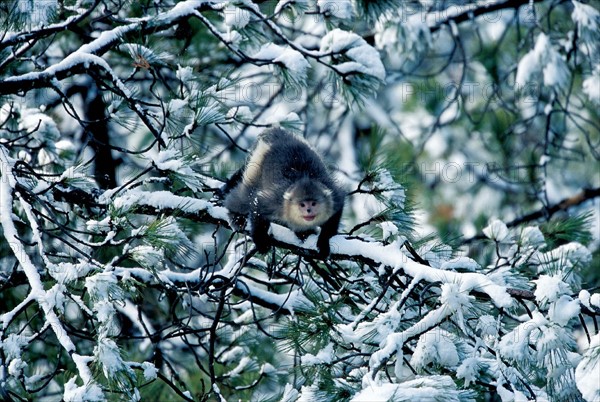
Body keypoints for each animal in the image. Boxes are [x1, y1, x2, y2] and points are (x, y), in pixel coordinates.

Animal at [224, 127, 346, 256]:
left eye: (313, 203)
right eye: (302, 205)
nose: (308, 210)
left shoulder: (333, 197)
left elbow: (337, 210)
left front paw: (323, 241)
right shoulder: (276, 201)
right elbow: (258, 204)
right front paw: (260, 240)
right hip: (258, 163)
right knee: (245, 195)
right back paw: (235, 215)